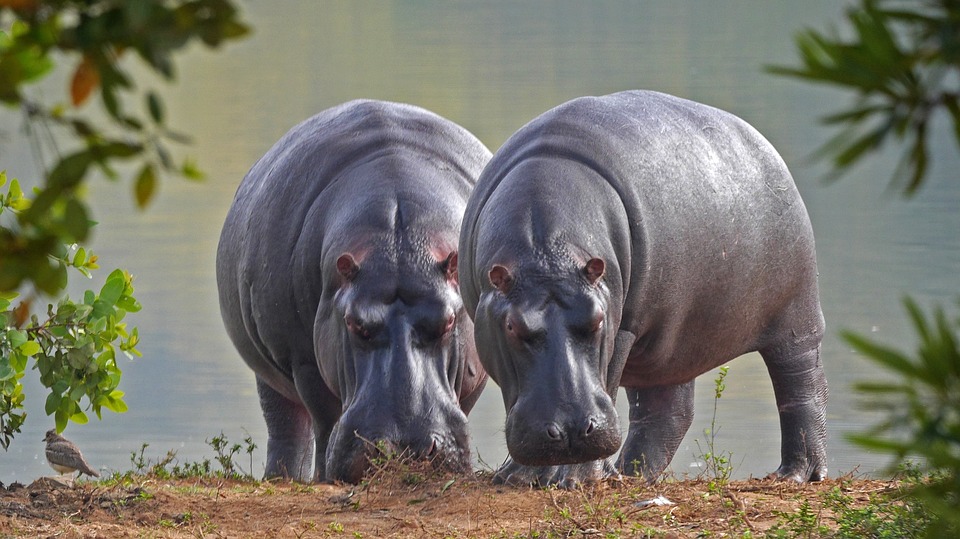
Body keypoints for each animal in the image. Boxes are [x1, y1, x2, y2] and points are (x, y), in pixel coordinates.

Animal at [217, 100, 490, 483]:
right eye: (353, 323)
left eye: (450, 320)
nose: (403, 449)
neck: (399, 244)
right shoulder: (304, 361)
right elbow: (326, 418)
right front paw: (324, 477)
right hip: (270, 374)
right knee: (288, 429)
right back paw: (284, 478)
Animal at [458, 90, 827, 487]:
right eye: (512, 326)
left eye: (598, 319)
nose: (572, 432)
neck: (546, 253)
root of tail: (763, 146)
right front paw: (516, 477)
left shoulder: (622, 327)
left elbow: (607, 378)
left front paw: (575, 479)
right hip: (670, 341)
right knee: (667, 410)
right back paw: (631, 476)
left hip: (796, 318)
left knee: (802, 387)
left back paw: (796, 475)